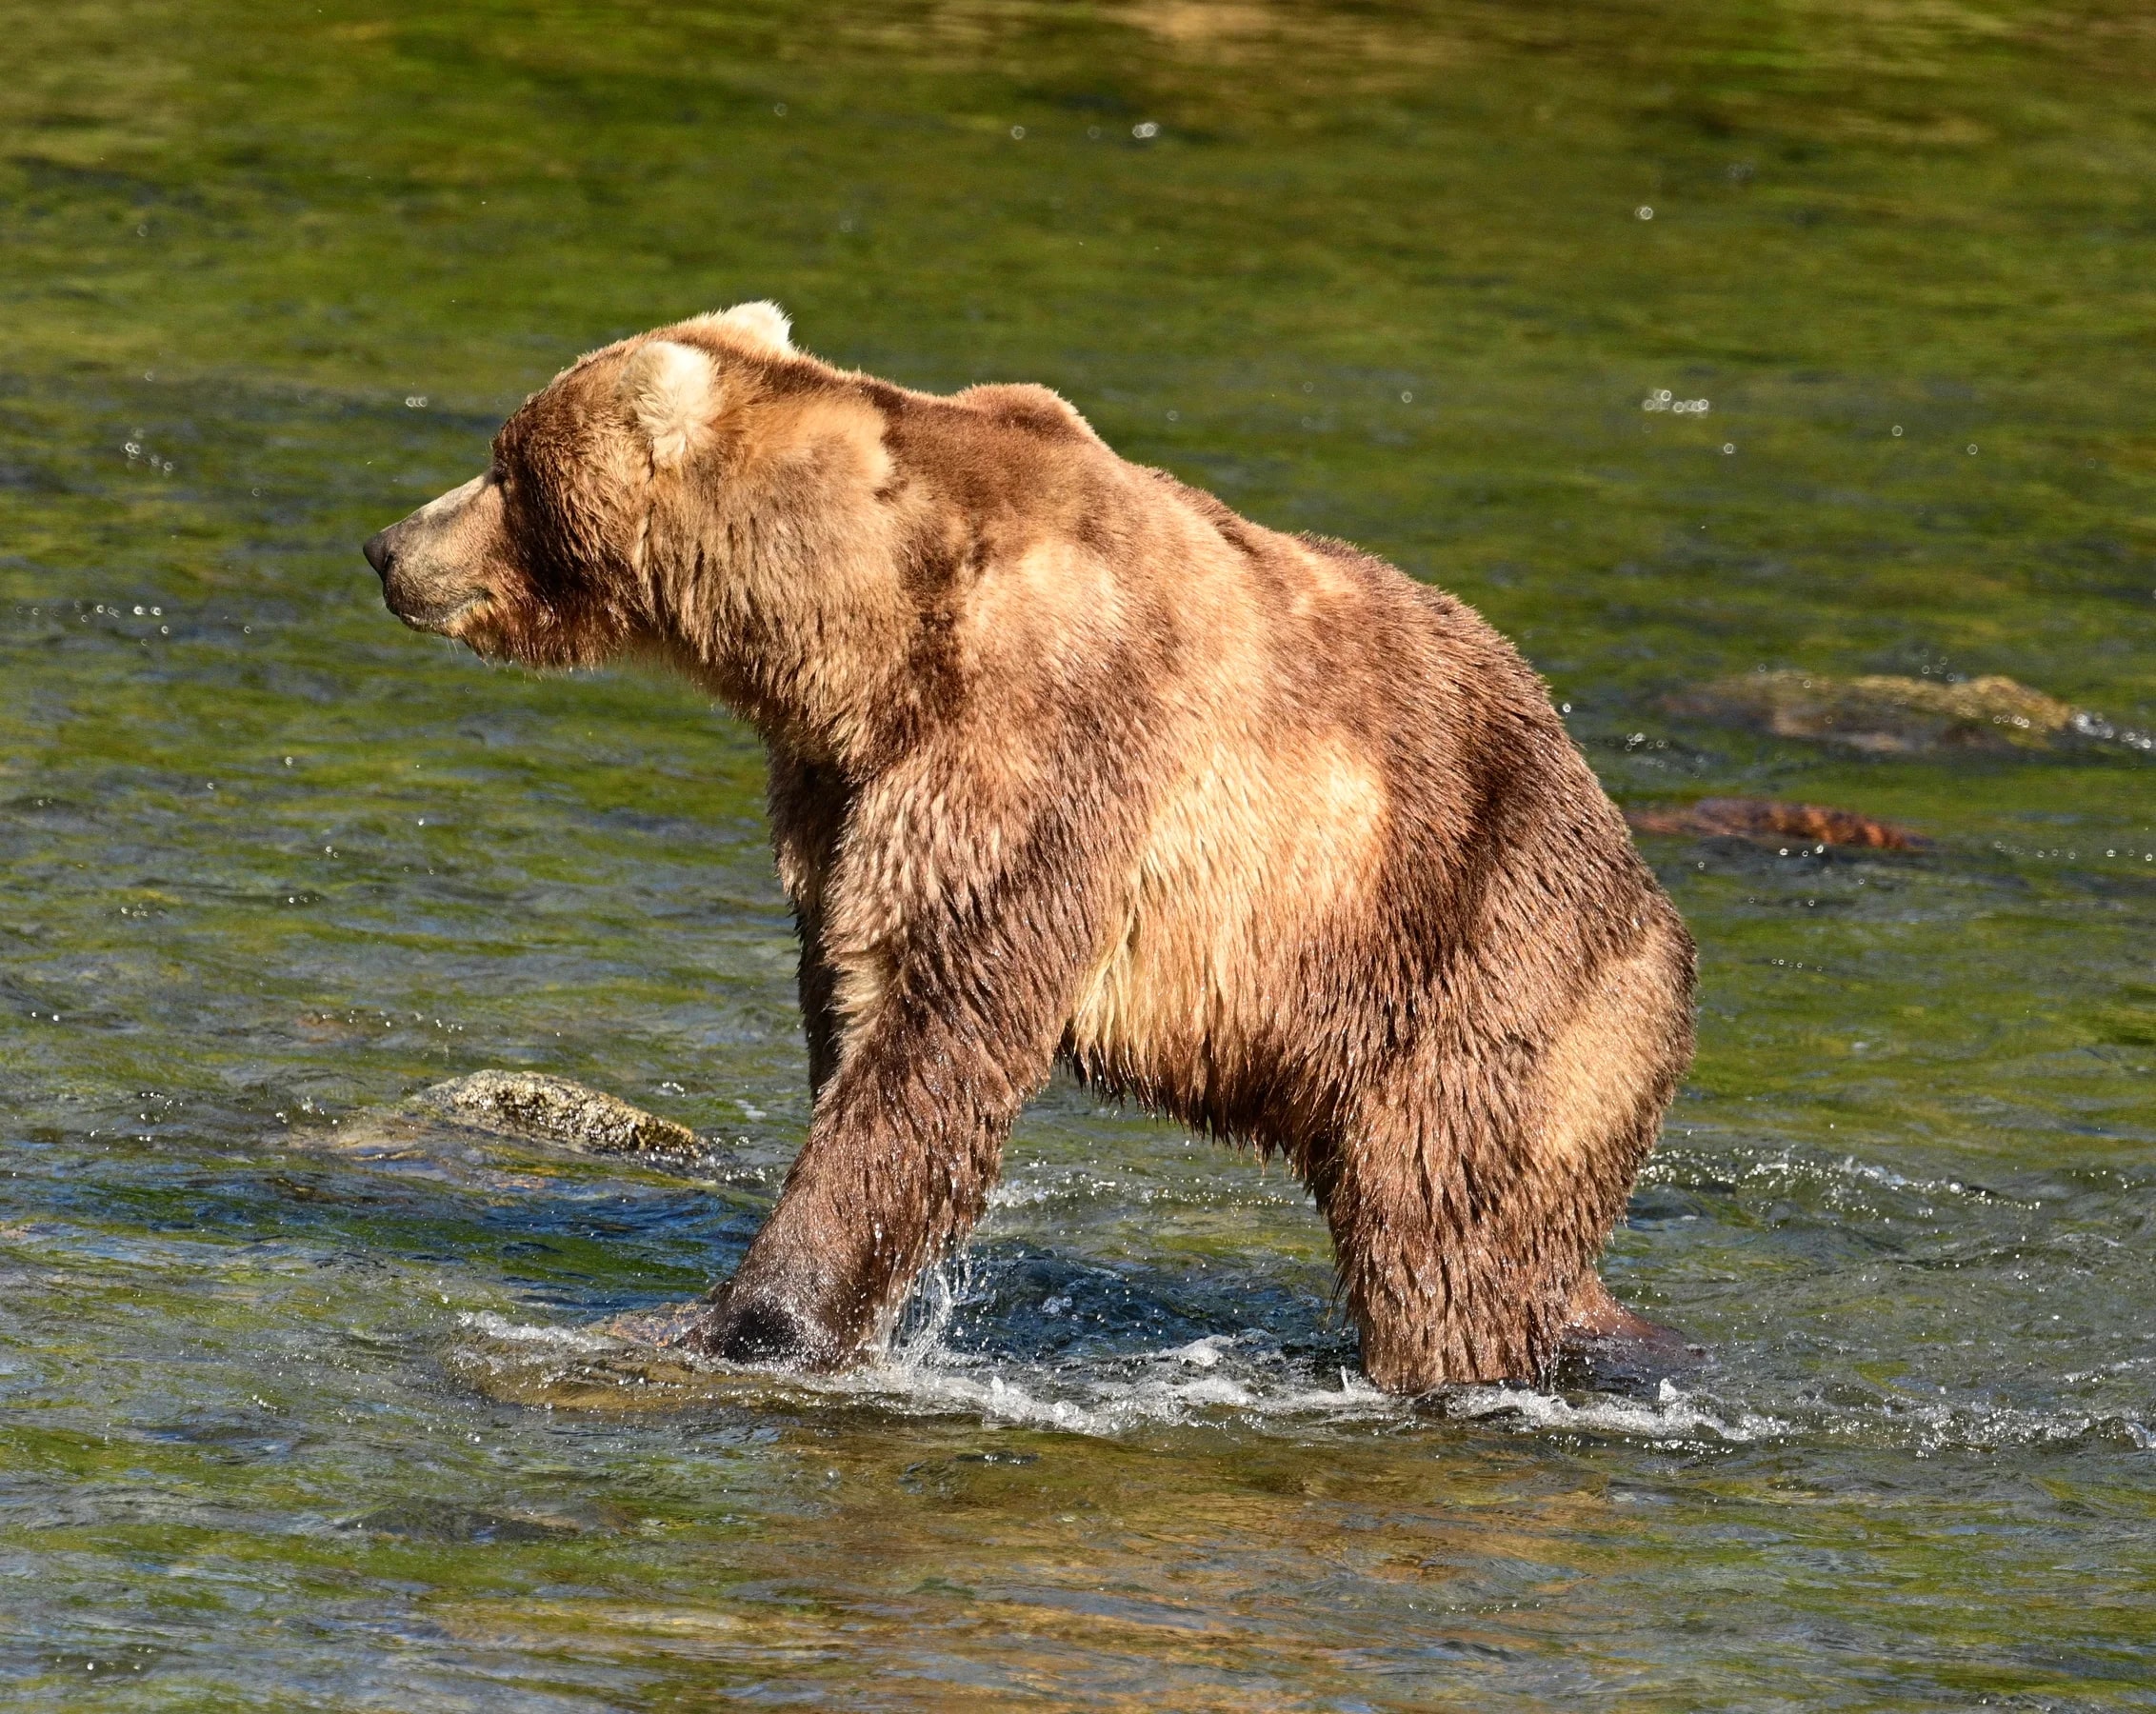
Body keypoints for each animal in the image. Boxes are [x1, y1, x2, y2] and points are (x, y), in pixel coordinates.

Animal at [362, 302, 1695, 1394]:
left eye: (502, 465)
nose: (385, 546)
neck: (848, 638)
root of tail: (1652, 903)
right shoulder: (843, 788)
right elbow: (856, 991)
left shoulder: (1039, 736)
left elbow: (944, 1023)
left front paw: (745, 1318)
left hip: (1475, 961)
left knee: (1440, 1225)